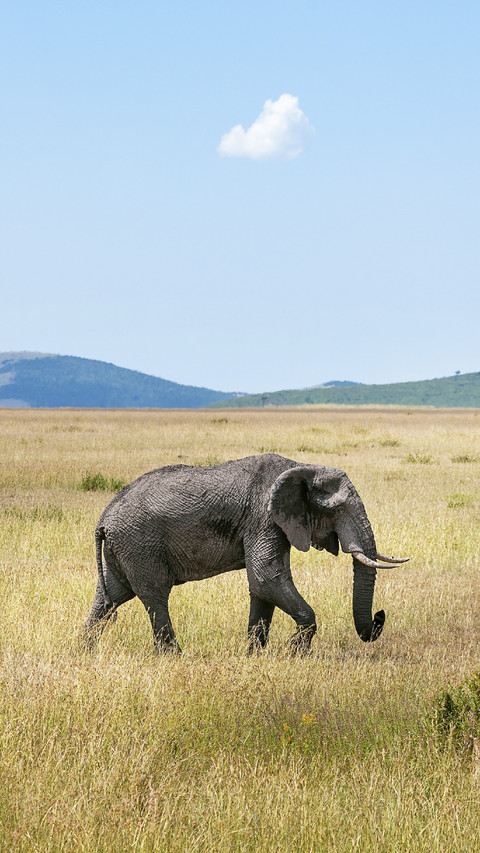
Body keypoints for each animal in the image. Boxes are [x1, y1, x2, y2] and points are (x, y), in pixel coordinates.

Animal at [83, 453, 407, 654]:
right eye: (337, 510)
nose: (380, 615)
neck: (301, 467)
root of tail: (103, 520)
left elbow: (262, 589)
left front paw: (254, 655)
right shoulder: (263, 519)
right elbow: (266, 579)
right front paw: (294, 654)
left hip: (125, 547)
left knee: (110, 597)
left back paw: (85, 651)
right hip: (139, 544)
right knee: (155, 596)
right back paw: (173, 657)